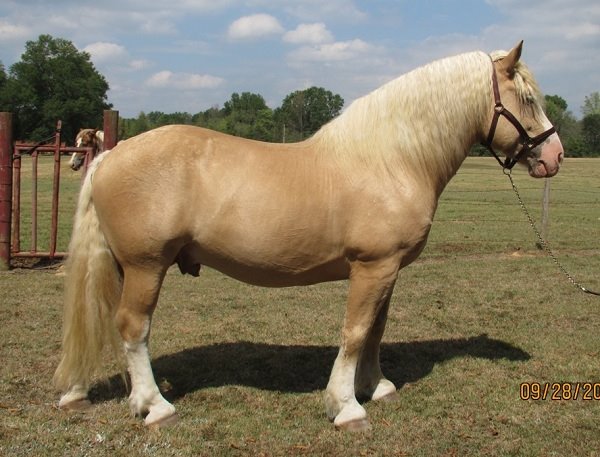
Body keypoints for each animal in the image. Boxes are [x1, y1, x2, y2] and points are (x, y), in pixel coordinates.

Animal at [55, 41, 564, 430]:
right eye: (527, 99)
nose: (554, 155)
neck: (391, 160)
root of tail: (112, 156)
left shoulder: (388, 270)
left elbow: (376, 331)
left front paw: (376, 386)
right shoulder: (372, 267)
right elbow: (355, 332)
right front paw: (346, 407)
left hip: (128, 267)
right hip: (146, 266)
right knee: (133, 327)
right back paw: (155, 406)